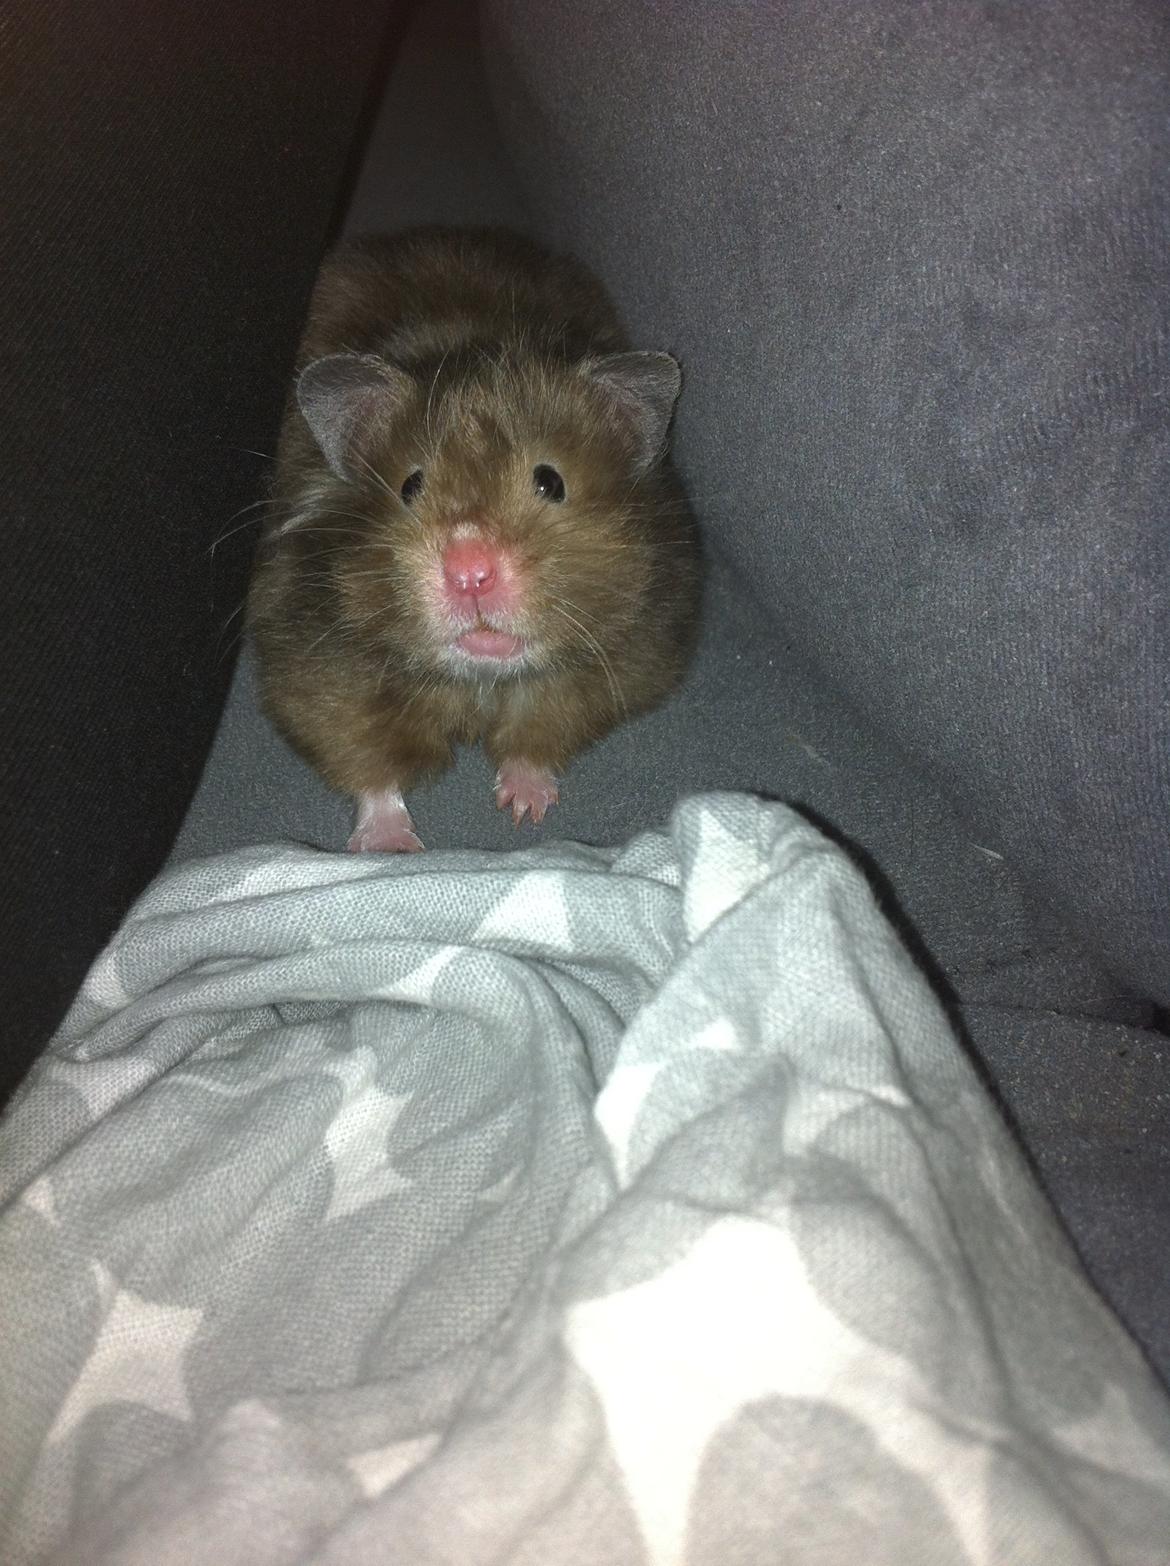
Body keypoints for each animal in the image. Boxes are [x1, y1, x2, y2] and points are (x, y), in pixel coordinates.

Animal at [248, 227, 701, 851]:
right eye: (409, 485)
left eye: (550, 481)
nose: (470, 572)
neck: (479, 683)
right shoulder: (317, 672)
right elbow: (368, 763)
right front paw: (392, 849)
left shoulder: (610, 666)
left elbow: (537, 737)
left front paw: (526, 809)